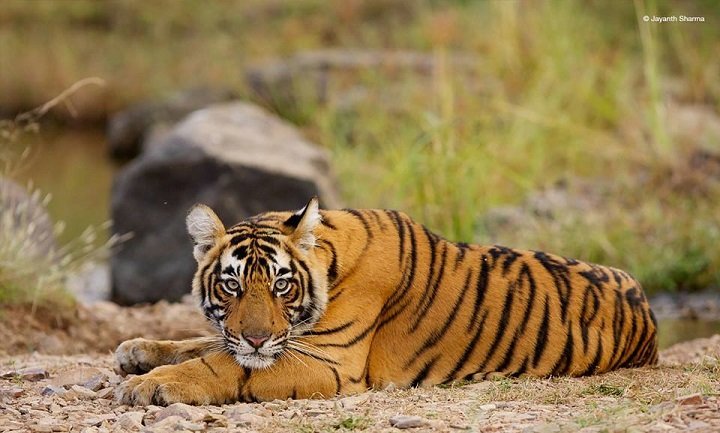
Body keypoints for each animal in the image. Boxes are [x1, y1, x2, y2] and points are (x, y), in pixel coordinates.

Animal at [115, 197, 658, 405]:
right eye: (232, 285)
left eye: (282, 285)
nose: (256, 337)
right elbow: (204, 344)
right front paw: (138, 352)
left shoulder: (328, 362)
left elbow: (224, 364)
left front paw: (149, 385)